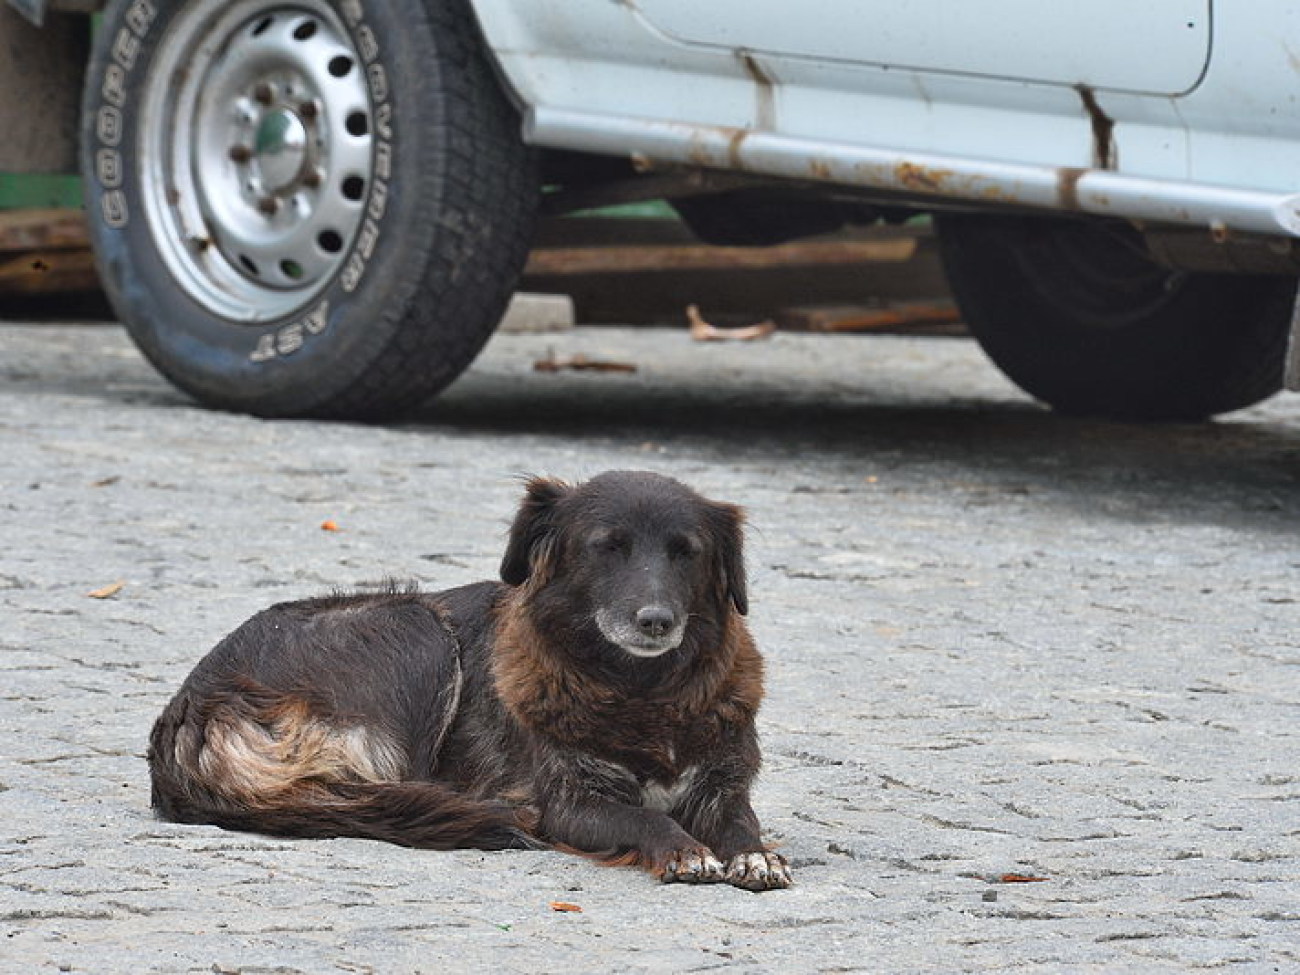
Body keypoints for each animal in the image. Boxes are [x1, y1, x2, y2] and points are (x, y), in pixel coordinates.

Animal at [147, 473, 785, 894]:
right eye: (608, 547)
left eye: (686, 553)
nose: (657, 620)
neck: (646, 692)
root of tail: (188, 707)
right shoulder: (568, 800)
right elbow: (645, 817)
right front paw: (682, 849)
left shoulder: (723, 787)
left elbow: (741, 824)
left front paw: (754, 857)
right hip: (416, 628)